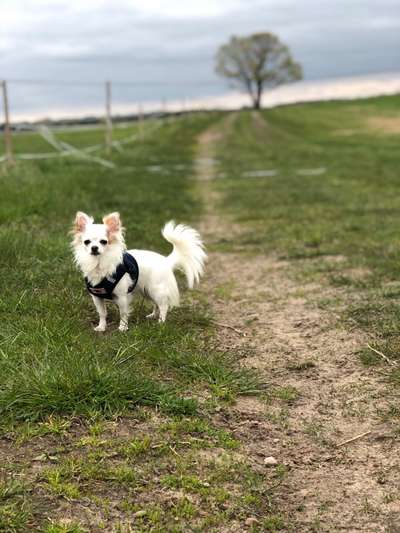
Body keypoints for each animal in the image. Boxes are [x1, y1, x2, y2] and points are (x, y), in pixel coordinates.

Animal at [71, 211, 206, 328]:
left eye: (103, 242)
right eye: (87, 242)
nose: (94, 248)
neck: (99, 263)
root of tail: (166, 261)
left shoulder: (122, 297)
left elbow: (123, 314)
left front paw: (123, 328)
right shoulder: (97, 297)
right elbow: (102, 313)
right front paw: (101, 327)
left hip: (156, 290)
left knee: (163, 306)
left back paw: (161, 323)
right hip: (148, 290)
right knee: (157, 304)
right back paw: (153, 316)